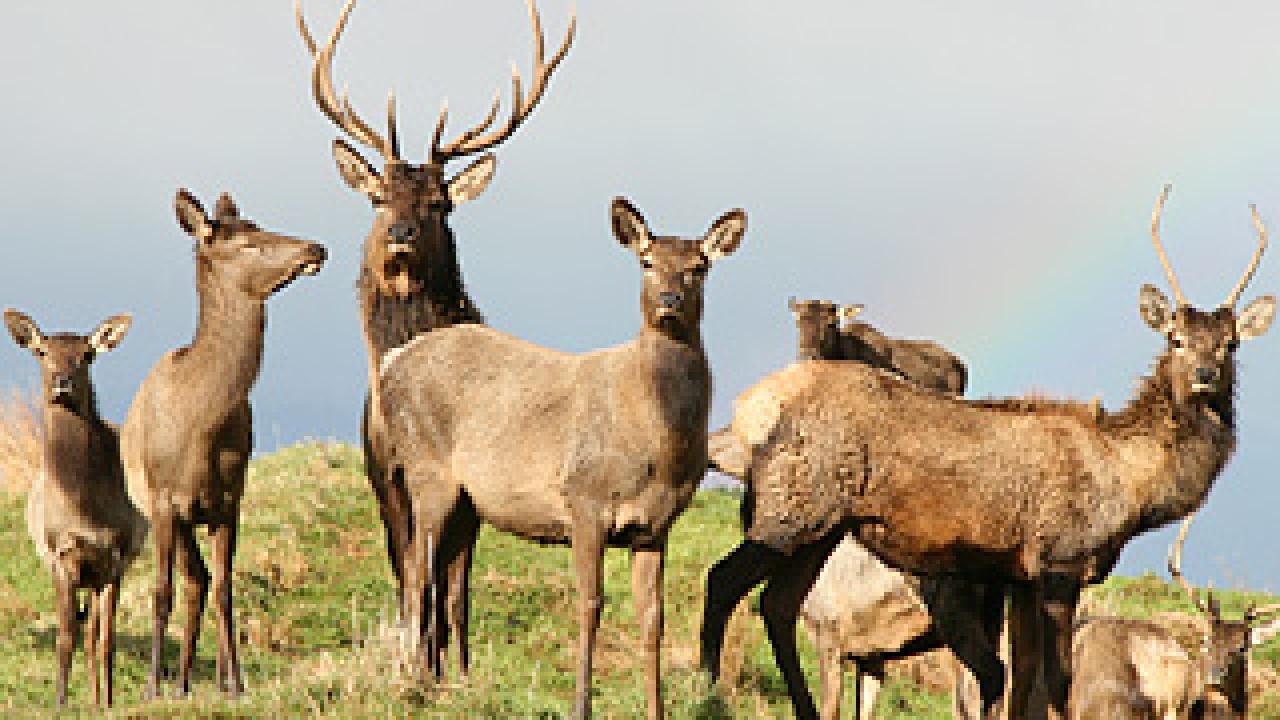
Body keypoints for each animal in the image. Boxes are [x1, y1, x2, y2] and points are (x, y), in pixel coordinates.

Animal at [4, 310, 144, 708]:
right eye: (41, 351)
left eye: (88, 355)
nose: (62, 382)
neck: (86, 514)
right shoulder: (59, 553)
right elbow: (65, 637)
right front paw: (60, 701)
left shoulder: (116, 555)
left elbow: (107, 639)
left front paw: (108, 702)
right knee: (83, 631)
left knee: (94, 633)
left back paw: (98, 698)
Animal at [120, 190, 325, 698]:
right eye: (250, 242)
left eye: (261, 223)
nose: (315, 248)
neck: (200, 429)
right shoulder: (163, 499)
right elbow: (161, 591)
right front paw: (152, 685)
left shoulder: (229, 498)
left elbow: (225, 590)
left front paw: (236, 682)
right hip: (165, 512)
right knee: (188, 581)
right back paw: (176, 682)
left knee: (202, 581)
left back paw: (193, 680)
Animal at [293, 0, 575, 648]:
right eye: (378, 196)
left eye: (440, 204)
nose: (400, 233)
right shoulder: (384, 478)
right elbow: (410, 582)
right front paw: (413, 651)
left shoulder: (467, 489)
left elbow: (453, 596)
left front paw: (449, 661)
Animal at [376, 198, 746, 719]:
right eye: (646, 261)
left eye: (700, 267)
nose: (670, 300)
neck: (659, 446)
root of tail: (390, 363)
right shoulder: (584, 499)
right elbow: (590, 605)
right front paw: (580, 706)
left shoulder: (656, 526)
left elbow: (653, 619)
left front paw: (656, 710)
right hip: (426, 465)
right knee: (414, 570)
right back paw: (410, 681)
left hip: (468, 501)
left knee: (447, 580)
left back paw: (453, 684)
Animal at [698, 185, 1275, 720]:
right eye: (1176, 338)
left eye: (1230, 343)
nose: (1205, 374)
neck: (1133, 484)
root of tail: (749, 405)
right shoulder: (1061, 559)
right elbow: (1055, 681)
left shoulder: (1018, 575)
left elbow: (1021, 680)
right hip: (792, 506)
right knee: (723, 582)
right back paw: (707, 692)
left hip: (822, 524)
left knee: (777, 604)